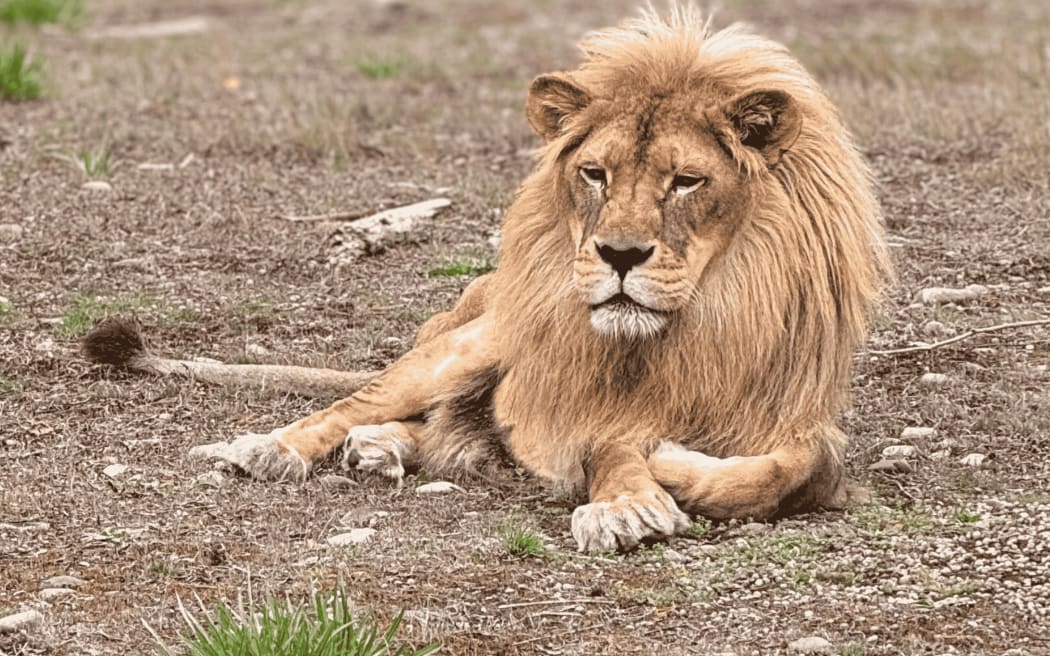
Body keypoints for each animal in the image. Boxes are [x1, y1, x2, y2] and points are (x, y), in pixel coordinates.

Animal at [84, 7, 890, 552]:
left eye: (686, 181)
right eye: (594, 174)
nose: (619, 254)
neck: (703, 321)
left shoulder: (797, 412)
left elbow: (801, 470)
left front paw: (677, 469)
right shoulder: (584, 408)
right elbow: (615, 447)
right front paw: (631, 500)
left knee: (437, 428)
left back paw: (383, 450)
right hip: (470, 342)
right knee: (358, 400)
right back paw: (278, 448)